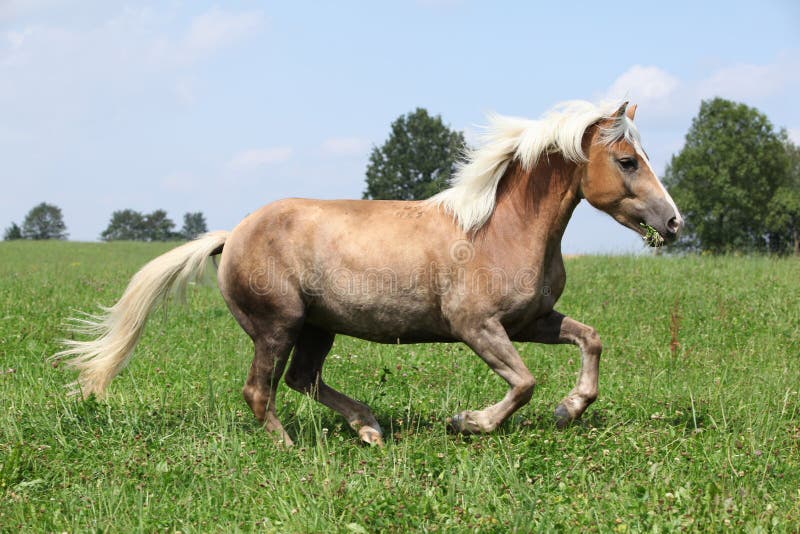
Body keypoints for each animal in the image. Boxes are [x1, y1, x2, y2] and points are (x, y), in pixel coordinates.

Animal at [56, 101, 680, 448]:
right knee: (261, 390)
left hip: (318, 327)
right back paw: (290, 449)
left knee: (302, 380)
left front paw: (568, 410)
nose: (673, 222)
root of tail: (232, 234)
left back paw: (369, 429)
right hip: (278, 325)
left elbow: (590, 340)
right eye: (628, 161)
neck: (499, 229)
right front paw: (467, 423)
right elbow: (523, 383)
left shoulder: (532, 321)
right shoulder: (477, 326)